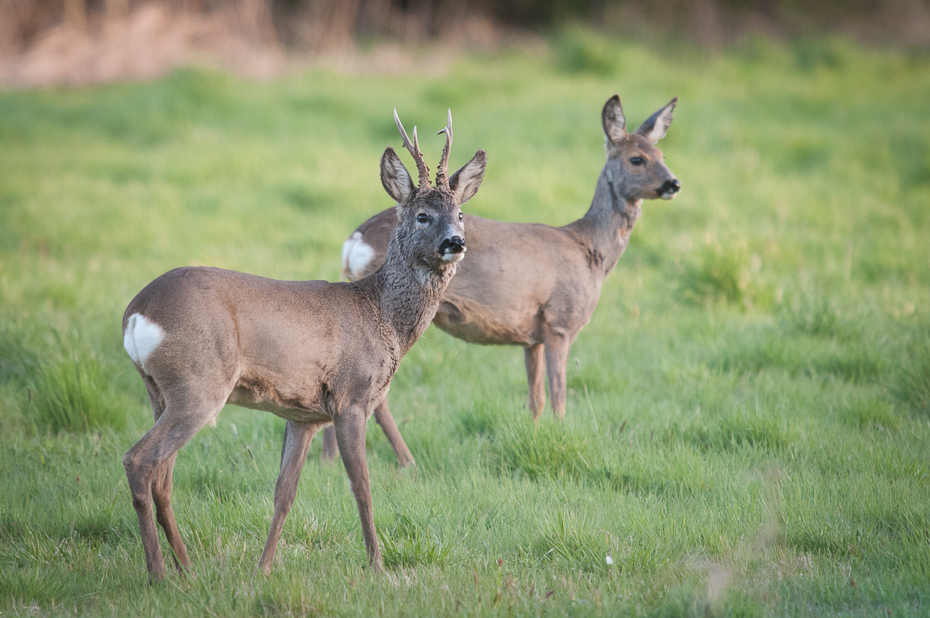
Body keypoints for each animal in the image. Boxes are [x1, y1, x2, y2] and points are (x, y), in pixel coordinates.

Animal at [118, 108, 486, 576]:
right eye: (422, 215)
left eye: (460, 213)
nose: (455, 242)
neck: (381, 315)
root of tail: (135, 314)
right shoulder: (351, 396)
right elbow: (362, 486)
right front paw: (378, 567)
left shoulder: (303, 415)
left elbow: (284, 493)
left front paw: (262, 569)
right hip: (198, 384)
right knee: (140, 461)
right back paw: (159, 575)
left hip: (160, 390)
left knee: (162, 475)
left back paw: (186, 568)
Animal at [324, 94, 676, 464]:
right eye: (637, 159)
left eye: (662, 155)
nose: (673, 183)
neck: (590, 250)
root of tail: (354, 241)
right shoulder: (560, 322)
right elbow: (559, 397)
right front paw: (561, 434)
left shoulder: (532, 336)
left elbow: (535, 399)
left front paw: (536, 438)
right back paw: (404, 461)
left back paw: (332, 460)